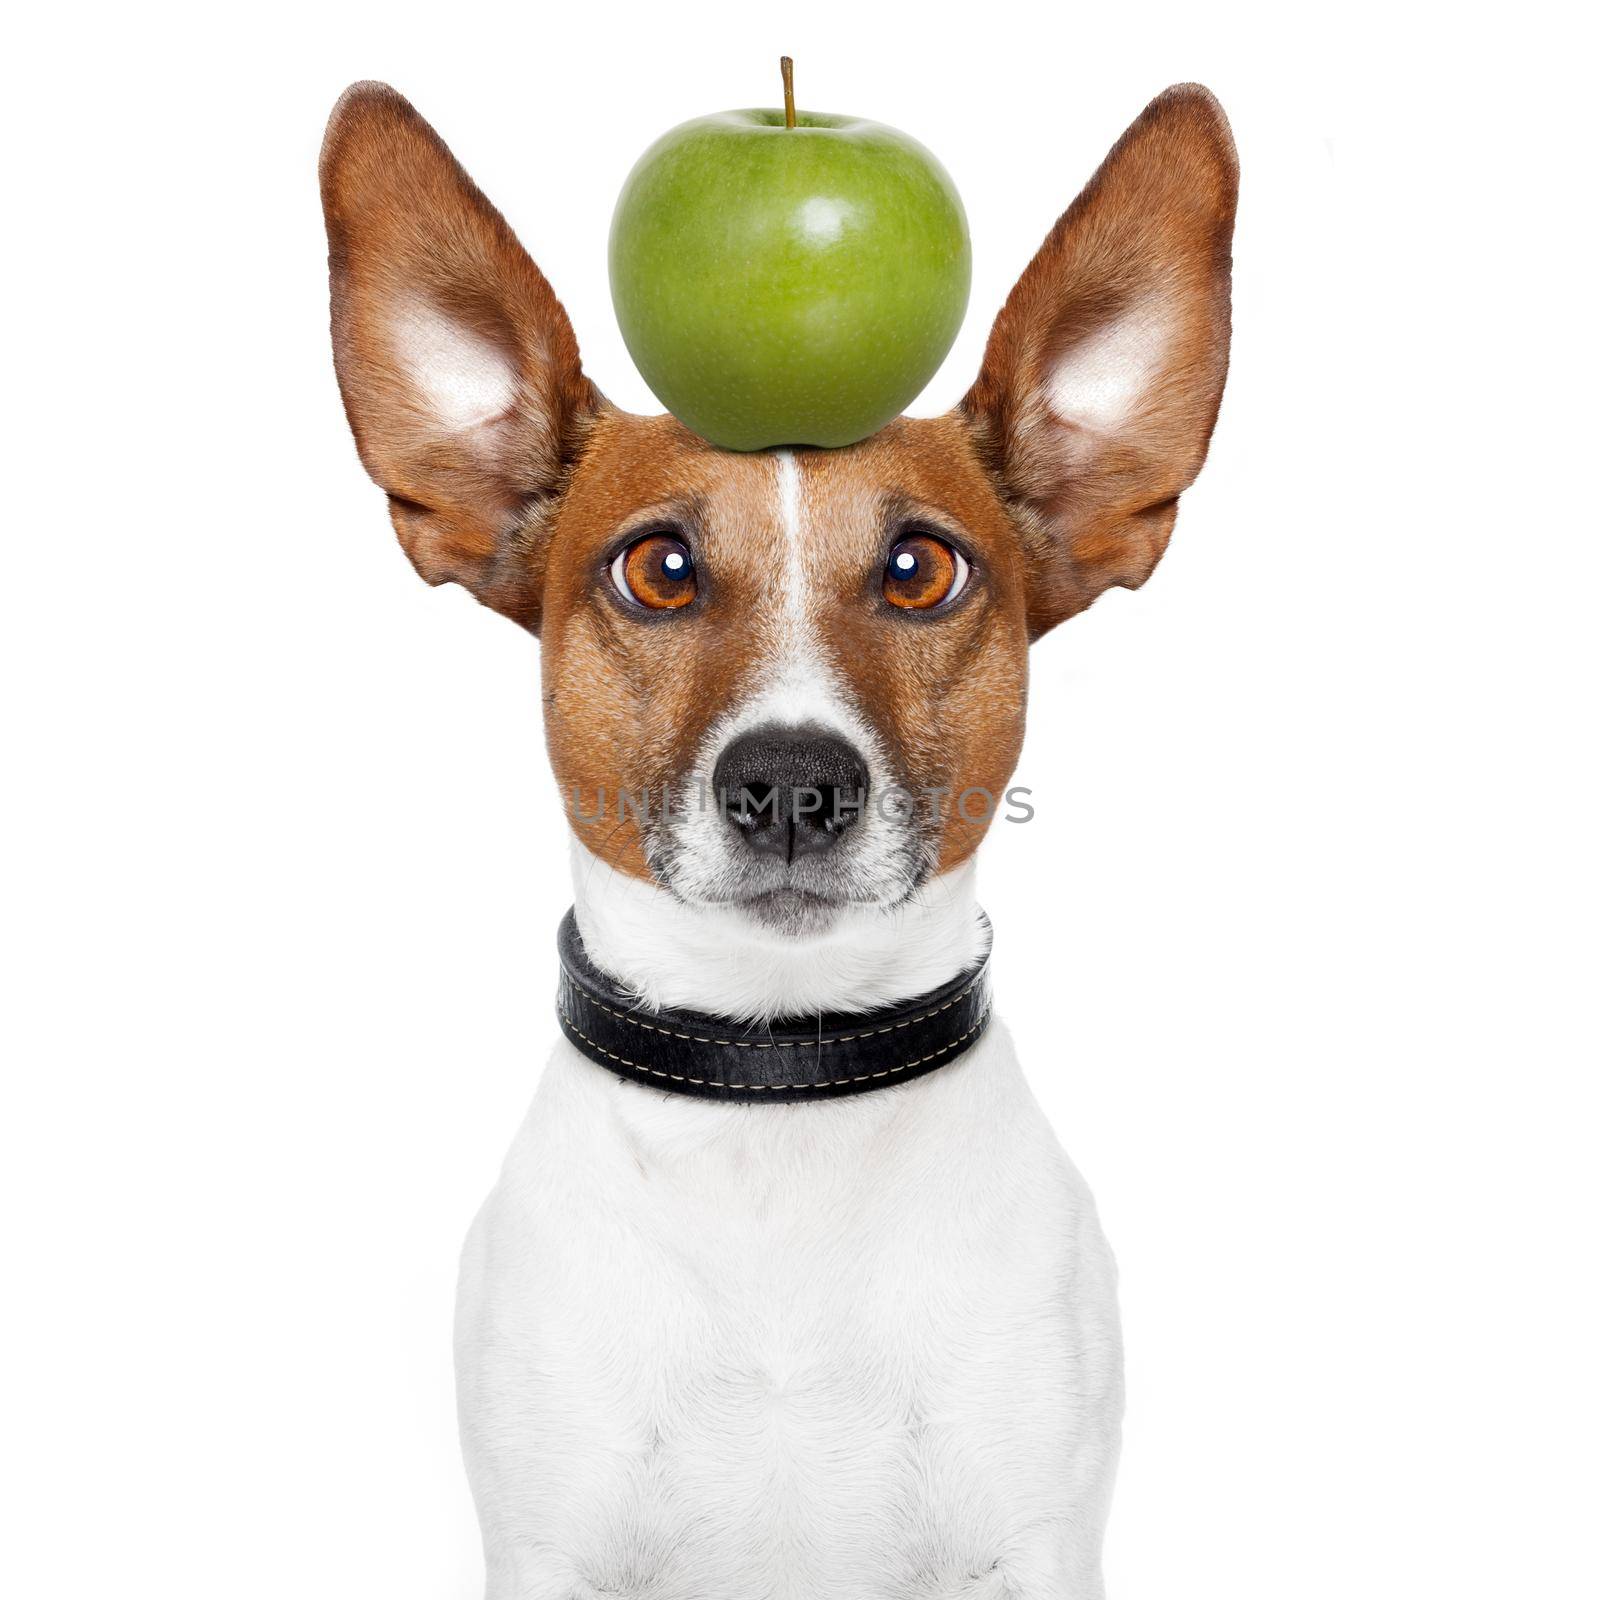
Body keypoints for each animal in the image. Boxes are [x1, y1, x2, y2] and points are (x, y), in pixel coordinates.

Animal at [315, 78, 1235, 1600]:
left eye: (921, 569)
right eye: (657, 568)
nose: (794, 782)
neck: (777, 1084)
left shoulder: (1037, 1543)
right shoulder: (548, 1548)